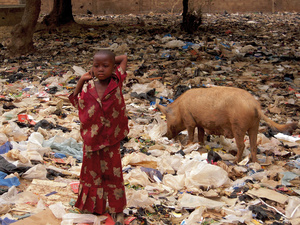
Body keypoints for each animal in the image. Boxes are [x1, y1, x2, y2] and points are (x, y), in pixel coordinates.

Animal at [157, 85, 298, 162]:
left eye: (167, 119)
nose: (166, 136)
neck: (179, 109)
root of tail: (255, 106)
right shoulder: (200, 123)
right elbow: (201, 134)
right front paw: (200, 144)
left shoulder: (189, 120)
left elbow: (191, 133)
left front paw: (188, 144)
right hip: (255, 126)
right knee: (253, 145)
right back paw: (255, 162)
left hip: (238, 126)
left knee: (242, 145)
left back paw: (235, 161)